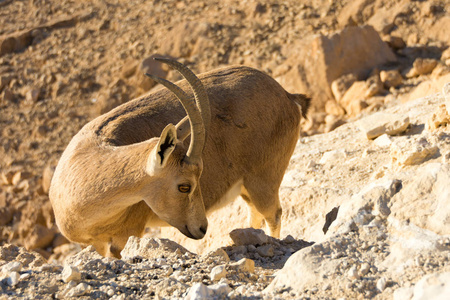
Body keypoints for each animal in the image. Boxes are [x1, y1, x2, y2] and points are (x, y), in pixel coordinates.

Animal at [49, 58, 310, 258]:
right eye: (184, 186)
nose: (202, 228)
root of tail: (287, 95)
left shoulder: (128, 233)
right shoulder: (98, 243)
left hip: (264, 179)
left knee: (273, 214)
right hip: (247, 187)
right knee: (255, 214)